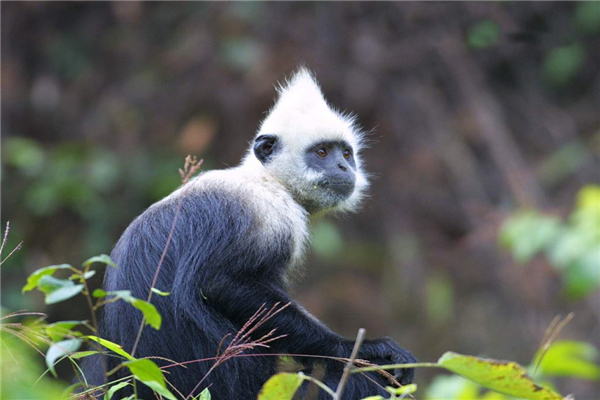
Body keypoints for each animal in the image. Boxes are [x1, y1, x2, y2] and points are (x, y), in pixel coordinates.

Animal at [79, 69, 414, 400]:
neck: (266, 178)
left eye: (346, 153)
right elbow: (217, 282)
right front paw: (358, 350)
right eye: (321, 153)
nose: (345, 167)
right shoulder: (274, 214)